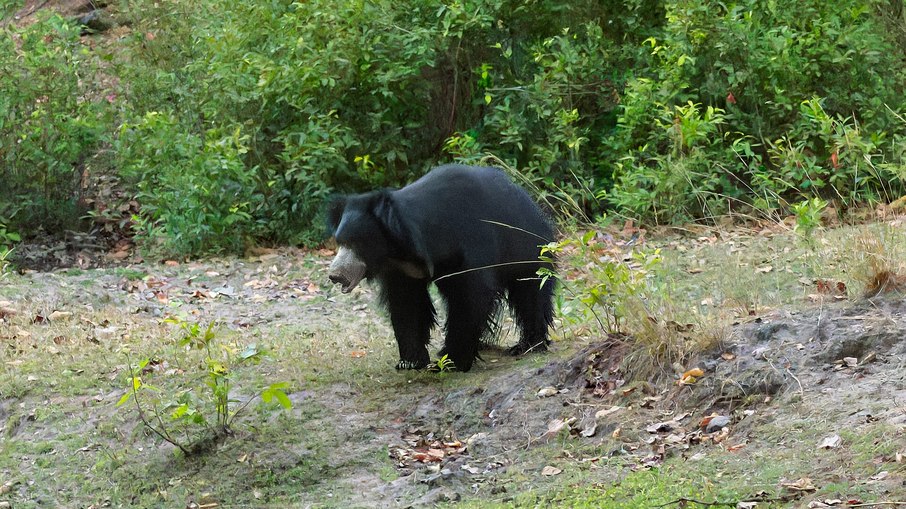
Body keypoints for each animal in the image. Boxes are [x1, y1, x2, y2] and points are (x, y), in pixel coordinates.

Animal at [326, 164, 555, 372]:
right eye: (340, 241)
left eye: (356, 243)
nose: (335, 275)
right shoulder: (403, 270)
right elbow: (407, 303)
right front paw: (410, 361)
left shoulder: (470, 245)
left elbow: (471, 297)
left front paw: (451, 361)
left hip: (527, 248)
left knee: (530, 293)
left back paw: (528, 345)